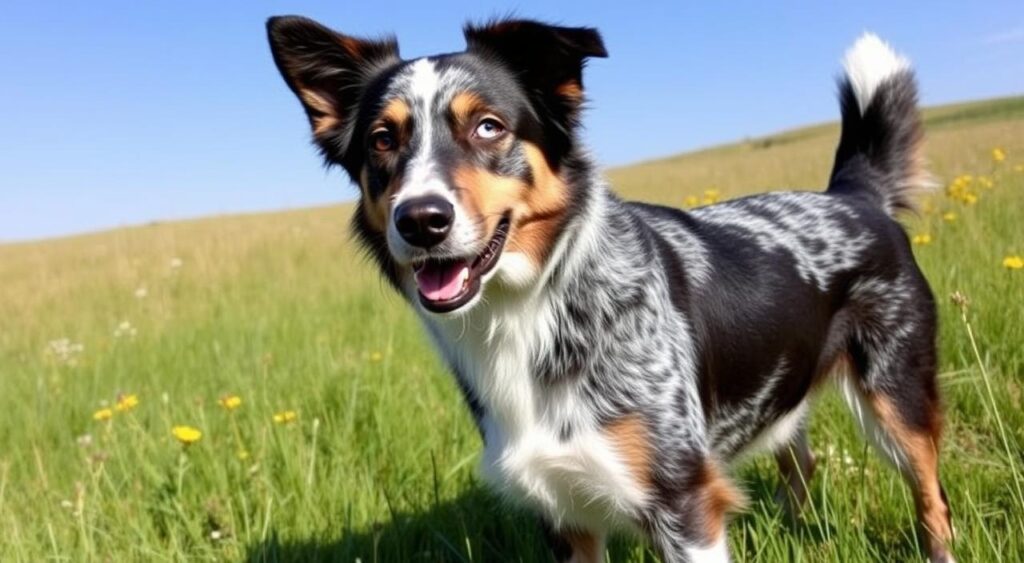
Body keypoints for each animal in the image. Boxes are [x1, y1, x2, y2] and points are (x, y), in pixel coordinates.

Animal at [268, 17, 954, 563]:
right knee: (801, 463)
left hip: (897, 397)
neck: (535, 307)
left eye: (488, 127)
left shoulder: (684, 504)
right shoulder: (564, 514)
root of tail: (853, 195)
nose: (420, 219)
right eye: (383, 140)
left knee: (931, 496)